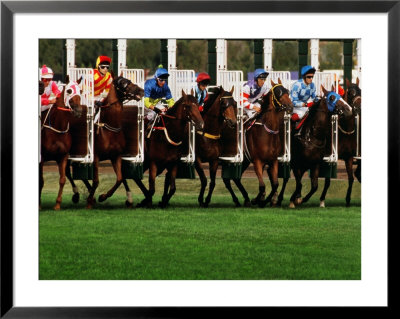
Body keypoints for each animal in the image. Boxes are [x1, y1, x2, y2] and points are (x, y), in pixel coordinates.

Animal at [39, 76, 83, 211]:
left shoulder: (63, 156)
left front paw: (58, 204)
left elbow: (63, 179)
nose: (79, 111)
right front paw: (39, 205)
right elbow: (41, 181)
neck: (57, 128)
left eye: (81, 91)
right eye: (69, 91)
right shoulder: (41, 158)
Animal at [68, 73, 145, 209]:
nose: (141, 91)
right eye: (122, 83)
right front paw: (90, 200)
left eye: (129, 80)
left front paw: (102, 196)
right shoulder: (96, 156)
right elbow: (96, 180)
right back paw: (78, 195)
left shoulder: (116, 156)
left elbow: (119, 178)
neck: (110, 128)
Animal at [222, 80, 294, 208]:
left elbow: (275, 184)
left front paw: (263, 200)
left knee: (236, 179)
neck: (267, 132)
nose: (290, 107)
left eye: (287, 91)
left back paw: (246, 199)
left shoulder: (273, 161)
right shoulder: (257, 161)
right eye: (278, 93)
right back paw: (238, 200)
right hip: (229, 158)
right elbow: (262, 186)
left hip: (244, 161)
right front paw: (258, 200)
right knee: (227, 180)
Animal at [318, 79, 362, 208]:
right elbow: (327, 179)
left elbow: (351, 178)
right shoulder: (330, 155)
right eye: (351, 93)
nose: (358, 107)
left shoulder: (349, 157)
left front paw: (348, 200)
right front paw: (322, 200)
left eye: (360, 91)